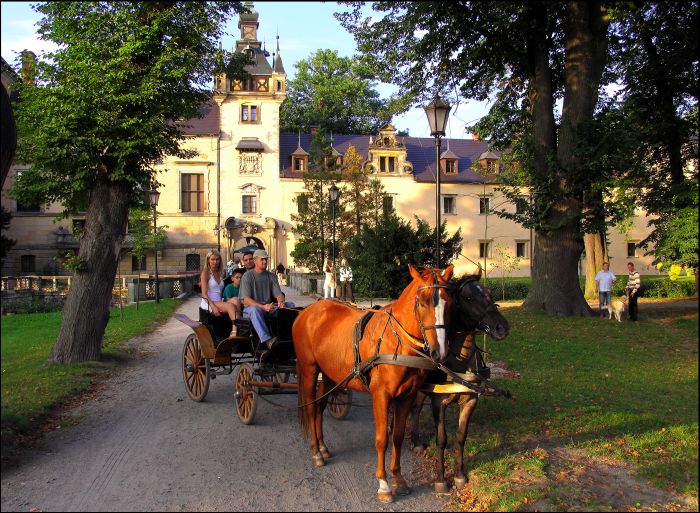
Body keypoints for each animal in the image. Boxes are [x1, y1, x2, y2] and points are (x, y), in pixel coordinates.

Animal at [294, 264, 454, 500]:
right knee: (312, 408)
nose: (440, 352)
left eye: (449, 302)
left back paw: (322, 447)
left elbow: (397, 437)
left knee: (321, 407)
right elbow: (382, 439)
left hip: (331, 375)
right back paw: (315, 452)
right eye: (422, 302)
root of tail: (307, 311)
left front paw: (399, 479)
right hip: (309, 371)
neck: (396, 341)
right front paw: (384, 484)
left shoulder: (406, 397)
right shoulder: (381, 395)